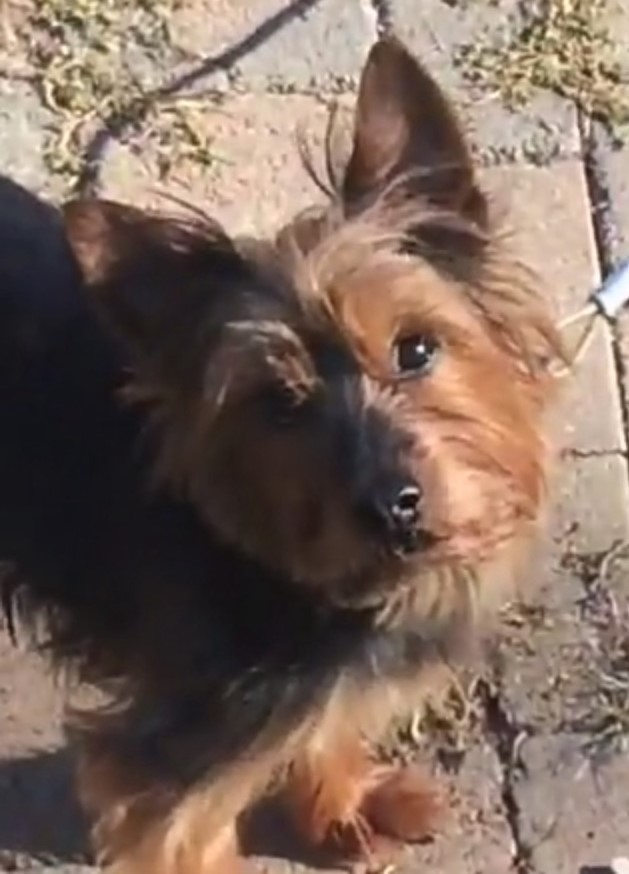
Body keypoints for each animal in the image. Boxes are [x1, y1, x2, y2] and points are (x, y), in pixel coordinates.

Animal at [0, 35, 563, 874]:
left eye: (416, 348)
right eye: (280, 405)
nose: (392, 506)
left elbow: (323, 728)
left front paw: (342, 806)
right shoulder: (174, 769)